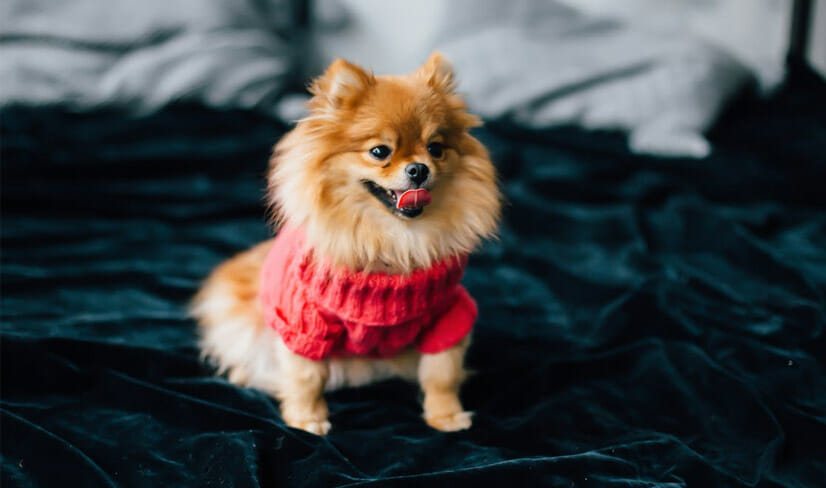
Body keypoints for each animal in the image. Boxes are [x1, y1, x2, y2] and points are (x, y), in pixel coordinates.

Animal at [192, 53, 498, 434]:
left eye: (436, 149)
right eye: (379, 151)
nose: (419, 169)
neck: (392, 240)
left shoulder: (447, 315)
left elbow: (442, 371)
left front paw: (446, 415)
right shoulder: (305, 322)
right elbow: (305, 377)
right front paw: (307, 419)